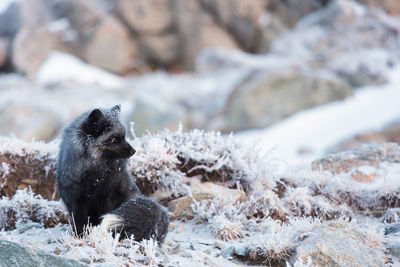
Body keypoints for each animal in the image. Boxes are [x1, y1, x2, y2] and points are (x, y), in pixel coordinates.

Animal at [56, 105, 169, 244]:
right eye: (113, 138)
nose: (134, 151)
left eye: (124, 136)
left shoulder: (107, 196)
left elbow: (102, 215)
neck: (94, 177)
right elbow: (79, 221)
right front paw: (80, 236)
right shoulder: (76, 200)